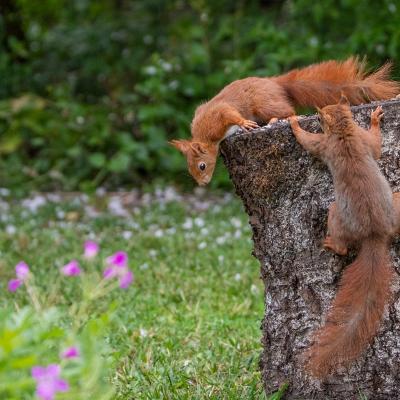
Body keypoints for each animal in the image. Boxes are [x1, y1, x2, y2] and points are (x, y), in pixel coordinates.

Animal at [170, 57, 400, 185]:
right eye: (189, 170)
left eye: (201, 166)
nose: (203, 184)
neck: (205, 135)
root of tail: (274, 83)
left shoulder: (219, 115)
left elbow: (231, 114)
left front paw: (244, 124)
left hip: (264, 103)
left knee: (288, 110)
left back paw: (277, 119)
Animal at [290, 96, 400, 378]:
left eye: (320, 117)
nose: (315, 115)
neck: (344, 131)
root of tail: (375, 234)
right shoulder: (362, 139)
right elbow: (376, 146)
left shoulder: (325, 145)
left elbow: (309, 142)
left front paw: (293, 123)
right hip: (396, 208)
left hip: (336, 214)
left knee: (341, 246)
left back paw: (332, 244)